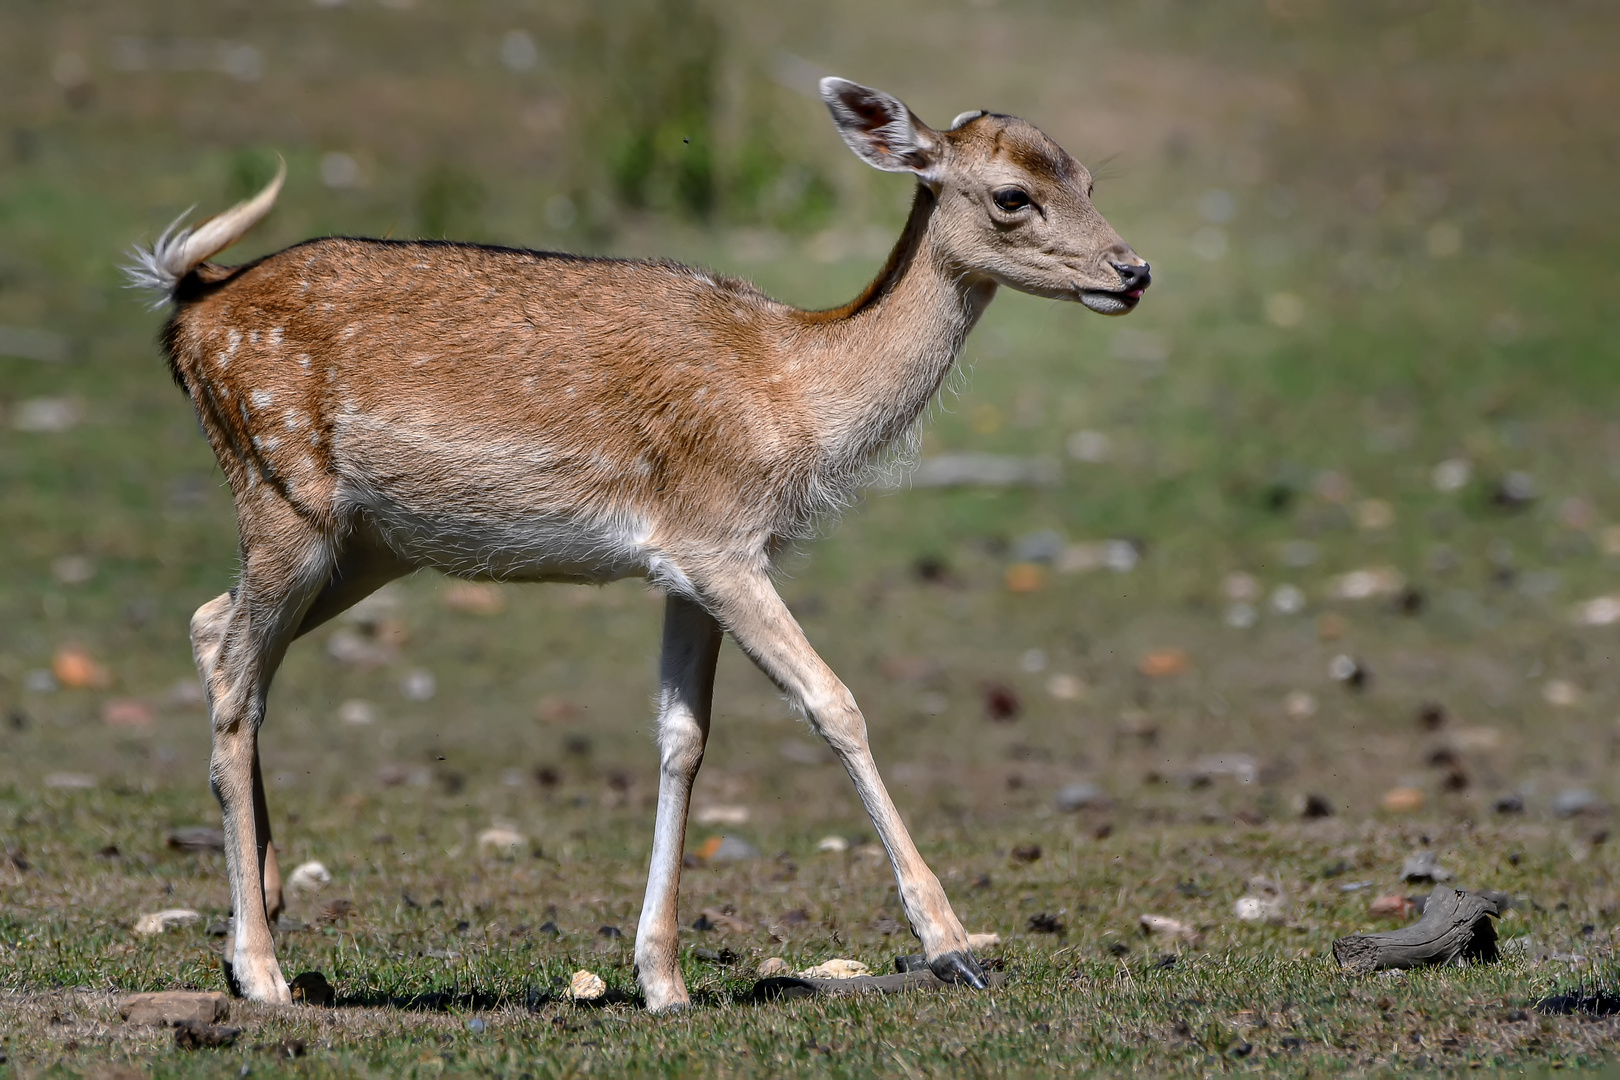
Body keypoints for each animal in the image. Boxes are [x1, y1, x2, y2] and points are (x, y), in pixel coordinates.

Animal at [129, 78, 1153, 1016]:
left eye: (1089, 177)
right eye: (1012, 195)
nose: (1133, 269)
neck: (793, 392)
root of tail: (188, 309)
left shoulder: (688, 562)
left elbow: (682, 738)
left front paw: (662, 978)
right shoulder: (719, 543)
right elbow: (834, 703)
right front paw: (951, 945)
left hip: (369, 543)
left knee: (214, 626)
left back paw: (263, 911)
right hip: (279, 491)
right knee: (237, 674)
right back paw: (260, 970)